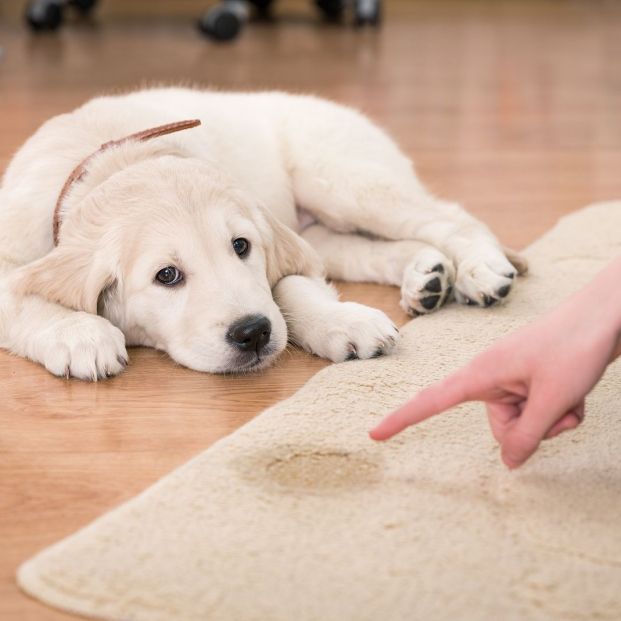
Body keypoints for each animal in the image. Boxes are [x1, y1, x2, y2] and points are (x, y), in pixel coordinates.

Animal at [0, 87, 524, 378]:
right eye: (167, 276)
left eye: (241, 246)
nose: (252, 333)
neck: (111, 158)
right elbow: (21, 298)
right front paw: (80, 334)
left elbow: (289, 288)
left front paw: (343, 321)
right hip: (326, 227)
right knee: (374, 248)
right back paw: (428, 276)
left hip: (341, 180)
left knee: (450, 217)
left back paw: (480, 269)